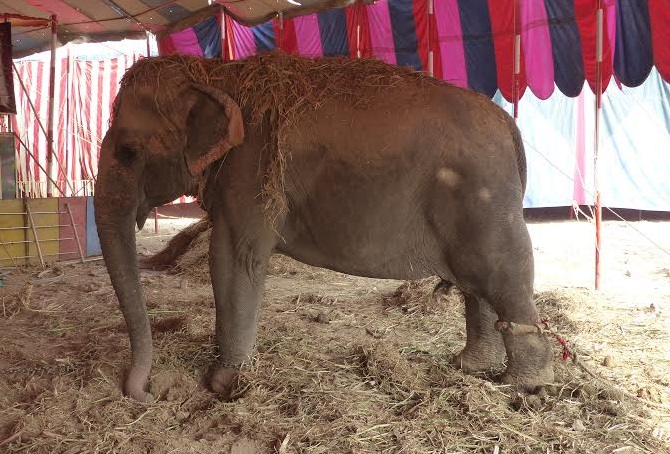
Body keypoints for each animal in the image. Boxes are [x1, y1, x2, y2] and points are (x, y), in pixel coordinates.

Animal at [96, 51, 556, 402]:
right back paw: (470, 368)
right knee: (479, 285)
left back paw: (524, 388)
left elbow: (233, 258)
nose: (150, 392)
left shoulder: (252, 172)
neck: (217, 75)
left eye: (129, 150)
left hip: (485, 198)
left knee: (504, 275)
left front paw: (224, 385)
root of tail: (509, 124)